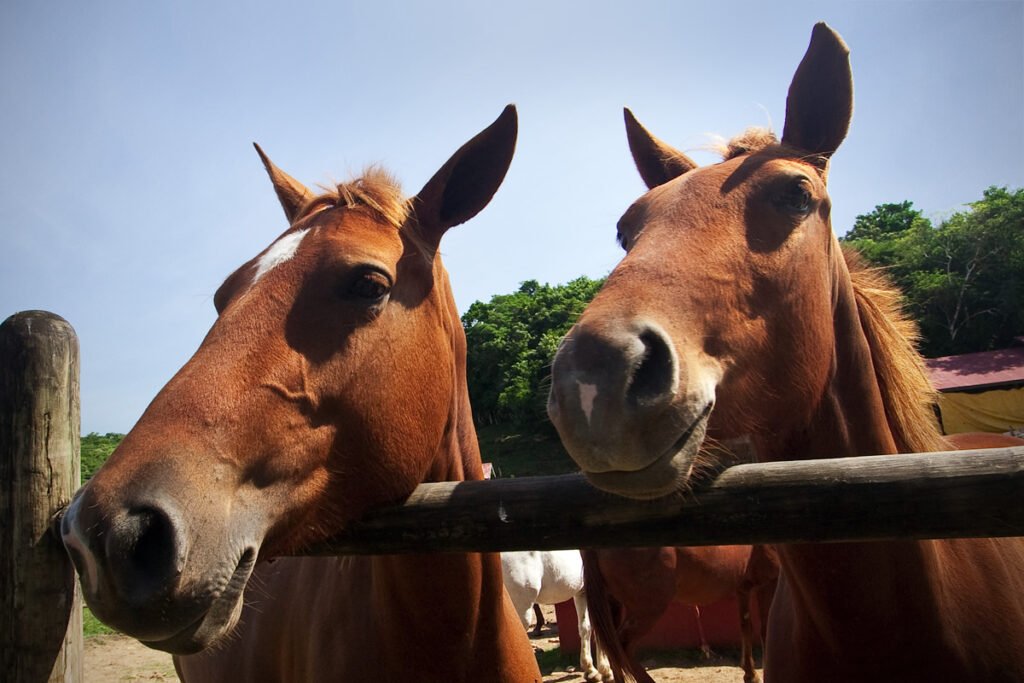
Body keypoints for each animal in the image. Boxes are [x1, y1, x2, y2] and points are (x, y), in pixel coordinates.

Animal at [583, 545, 778, 683]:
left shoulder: (743, 588)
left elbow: (746, 628)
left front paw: (751, 675)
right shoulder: (769, 583)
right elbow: (766, 630)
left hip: (613, 604)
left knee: (612, 647)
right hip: (648, 609)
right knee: (622, 645)